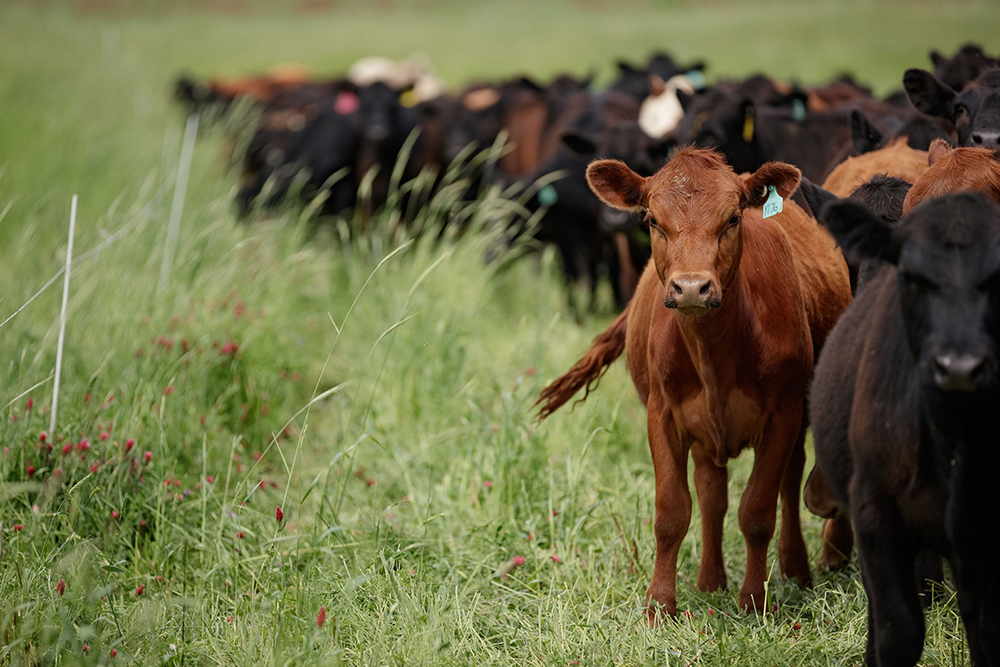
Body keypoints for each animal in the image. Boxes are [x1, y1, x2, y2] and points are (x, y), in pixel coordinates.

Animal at [535, 147, 852, 621]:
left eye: (733, 219)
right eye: (652, 220)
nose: (690, 287)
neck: (713, 352)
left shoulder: (784, 414)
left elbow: (758, 510)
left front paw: (754, 600)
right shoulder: (663, 415)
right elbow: (672, 512)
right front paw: (658, 605)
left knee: (789, 481)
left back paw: (795, 570)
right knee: (711, 490)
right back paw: (710, 580)